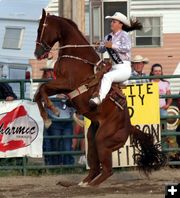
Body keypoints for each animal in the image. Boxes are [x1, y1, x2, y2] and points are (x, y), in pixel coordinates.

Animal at [33, 8, 166, 186]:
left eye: (40, 29)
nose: (37, 53)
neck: (77, 57)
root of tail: (129, 126)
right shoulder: (60, 84)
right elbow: (38, 93)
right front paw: (47, 118)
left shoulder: (65, 83)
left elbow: (43, 89)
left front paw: (52, 111)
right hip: (92, 138)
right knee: (96, 168)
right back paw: (82, 184)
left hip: (103, 140)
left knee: (107, 170)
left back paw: (90, 186)